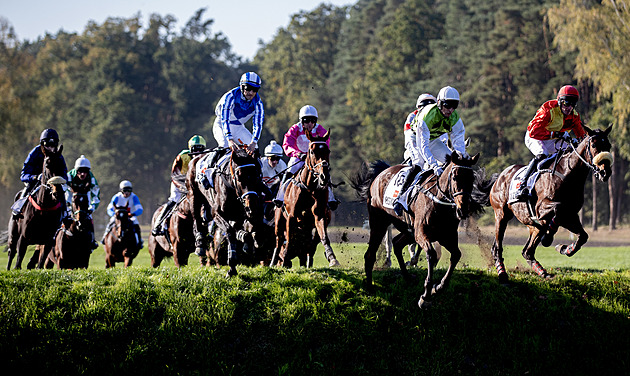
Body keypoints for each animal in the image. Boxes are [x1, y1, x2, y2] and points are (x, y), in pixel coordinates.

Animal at [188, 147, 266, 276]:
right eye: (239, 176)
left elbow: (253, 231)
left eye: (257, 175)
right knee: (197, 219)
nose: (251, 206)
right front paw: (232, 266)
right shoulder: (216, 213)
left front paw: (248, 241)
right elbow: (230, 232)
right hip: (194, 195)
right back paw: (200, 244)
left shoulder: (247, 212)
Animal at [272, 131, 340, 268]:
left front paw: (332, 258)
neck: (309, 188)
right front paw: (284, 259)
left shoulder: (320, 216)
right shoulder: (291, 217)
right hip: (279, 222)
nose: (324, 176)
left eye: (328, 151)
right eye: (312, 151)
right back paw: (275, 261)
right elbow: (289, 240)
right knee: (279, 241)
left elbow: (323, 238)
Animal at [350, 151, 484, 310]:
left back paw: (407, 277)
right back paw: (370, 286)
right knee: (370, 254)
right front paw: (426, 295)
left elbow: (456, 255)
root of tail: (380, 174)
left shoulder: (447, 236)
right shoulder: (421, 233)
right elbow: (431, 254)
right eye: (455, 177)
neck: (439, 202)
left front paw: (439, 287)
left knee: (397, 243)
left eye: (472, 178)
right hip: (379, 222)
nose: (463, 210)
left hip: (408, 231)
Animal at [484, 125, 612, 284]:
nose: (605, 172)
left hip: (532, 226)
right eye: (594, 145)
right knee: (497, 248)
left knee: (527, 252)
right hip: (501, 215)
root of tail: (499, 177)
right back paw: (502, 274)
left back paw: (544, 273)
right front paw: (549, 237)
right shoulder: (542, 208)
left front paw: (564, 248)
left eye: (608, 145)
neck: (567, 174)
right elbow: (558, 207)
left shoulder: (571, 216)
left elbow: (583, 236)